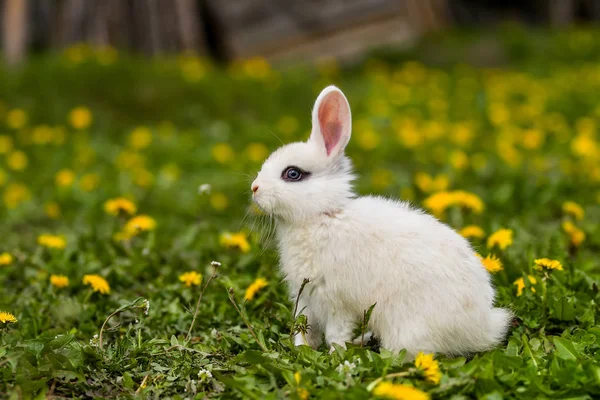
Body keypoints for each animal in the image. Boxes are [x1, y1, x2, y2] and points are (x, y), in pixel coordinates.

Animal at [250, 85, 510, 356]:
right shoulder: (306, 299)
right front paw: (302, 349)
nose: (254, 188)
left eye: (293, 173)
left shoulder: (337, 302)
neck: (323, 217)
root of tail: (482, 327)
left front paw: (335, 355)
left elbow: (335, 333)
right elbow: (304, 329)